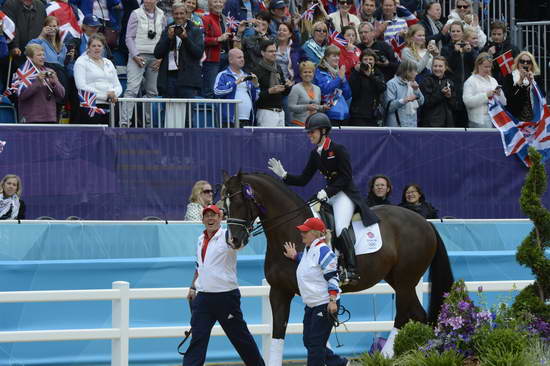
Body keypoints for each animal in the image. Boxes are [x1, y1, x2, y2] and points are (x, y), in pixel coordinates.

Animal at [222, 172, 454, 366]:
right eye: (224, 205)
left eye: (240, 201)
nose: (234, 240)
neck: (289, 231)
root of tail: (424, 222)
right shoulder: (279, 291)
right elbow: (279, 333)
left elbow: (318, 338)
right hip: (399, 280)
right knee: (419, 314)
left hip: (406, 280)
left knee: (404, 315)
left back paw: (385, 356)